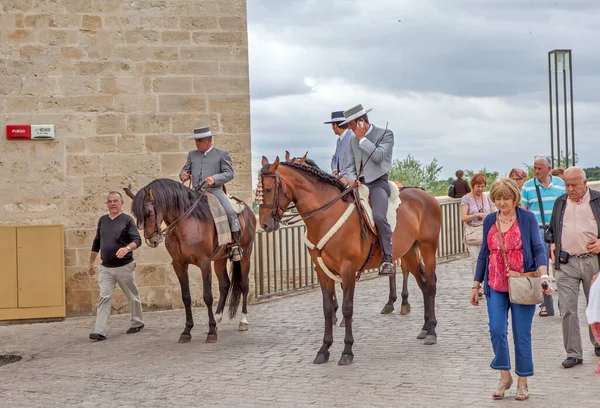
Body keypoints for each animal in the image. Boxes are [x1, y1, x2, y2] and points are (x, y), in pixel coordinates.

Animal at [125, 180, 256, 342]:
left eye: (150, 213)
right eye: (136, 216)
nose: (152, 241)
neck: (185, 224)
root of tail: (247, 209)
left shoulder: (204, 263)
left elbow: (207, 296)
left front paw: (211, 332)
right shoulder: (179, 265)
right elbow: (186, 297)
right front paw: (187, 330)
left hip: (246, 255)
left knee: (244, 285)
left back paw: (243, 321)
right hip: (219, 259)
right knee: (225, 284)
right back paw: (218, 318)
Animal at [258, 157, 440, 366]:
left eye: (269, 189)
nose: (264, 224)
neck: (326, 216)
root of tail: (425, 194)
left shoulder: (348, 269)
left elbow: (347, 308)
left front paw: (347, 350)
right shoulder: (322, 271)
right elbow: (327, 308)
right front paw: (324, 349)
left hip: (428, 247)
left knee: (431, 285)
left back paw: (431, 331)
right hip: (409, 252)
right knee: (423, 284)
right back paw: (425, 327)